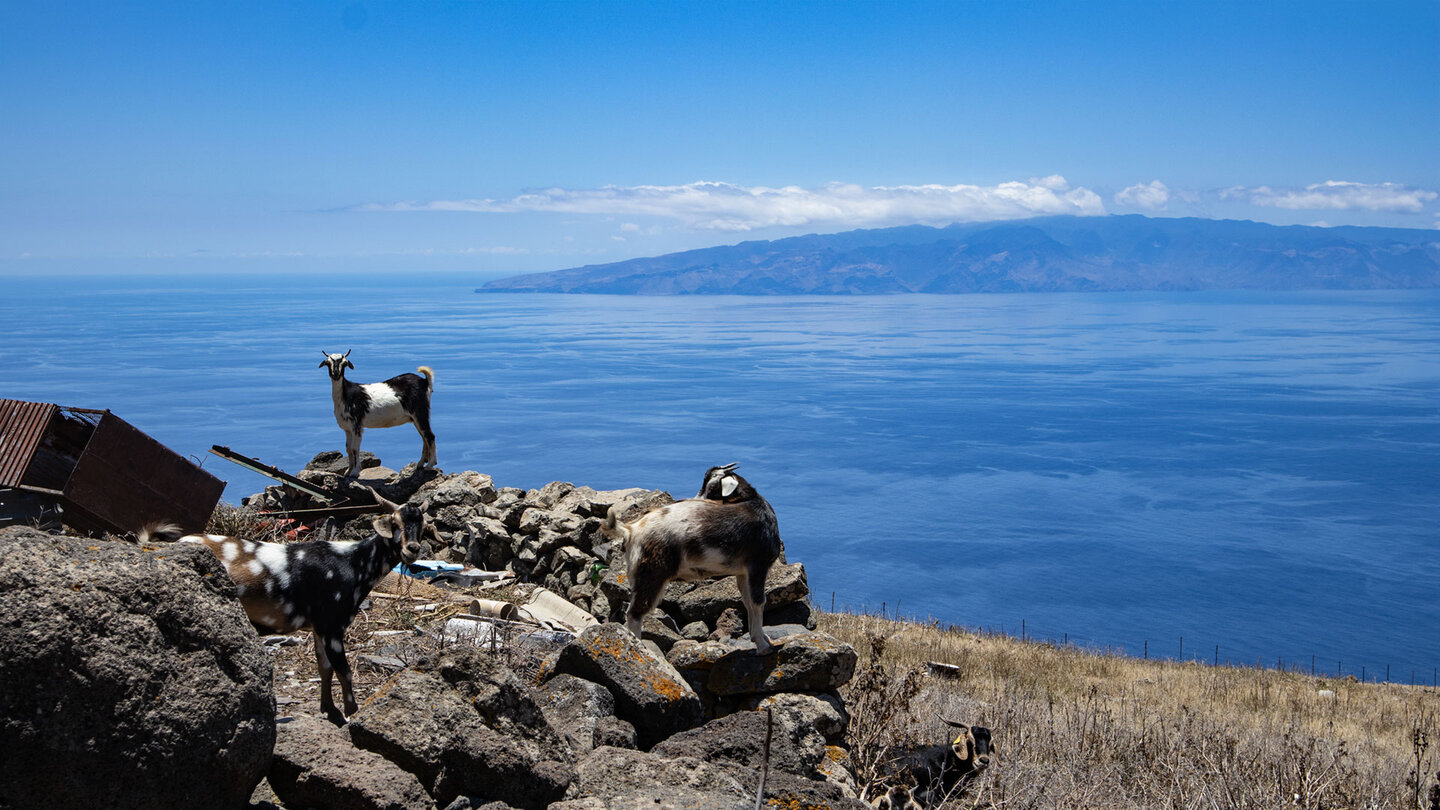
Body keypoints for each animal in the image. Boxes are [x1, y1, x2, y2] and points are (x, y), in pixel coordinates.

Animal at [139, 498, 432, 717]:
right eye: (395, 523)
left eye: (422, 524)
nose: (412, 549)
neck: (354, 563)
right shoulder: (332, 624)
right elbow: (345, 671)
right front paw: (351, 712)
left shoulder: (318, 627)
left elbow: (324, 668)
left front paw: (329, 709)